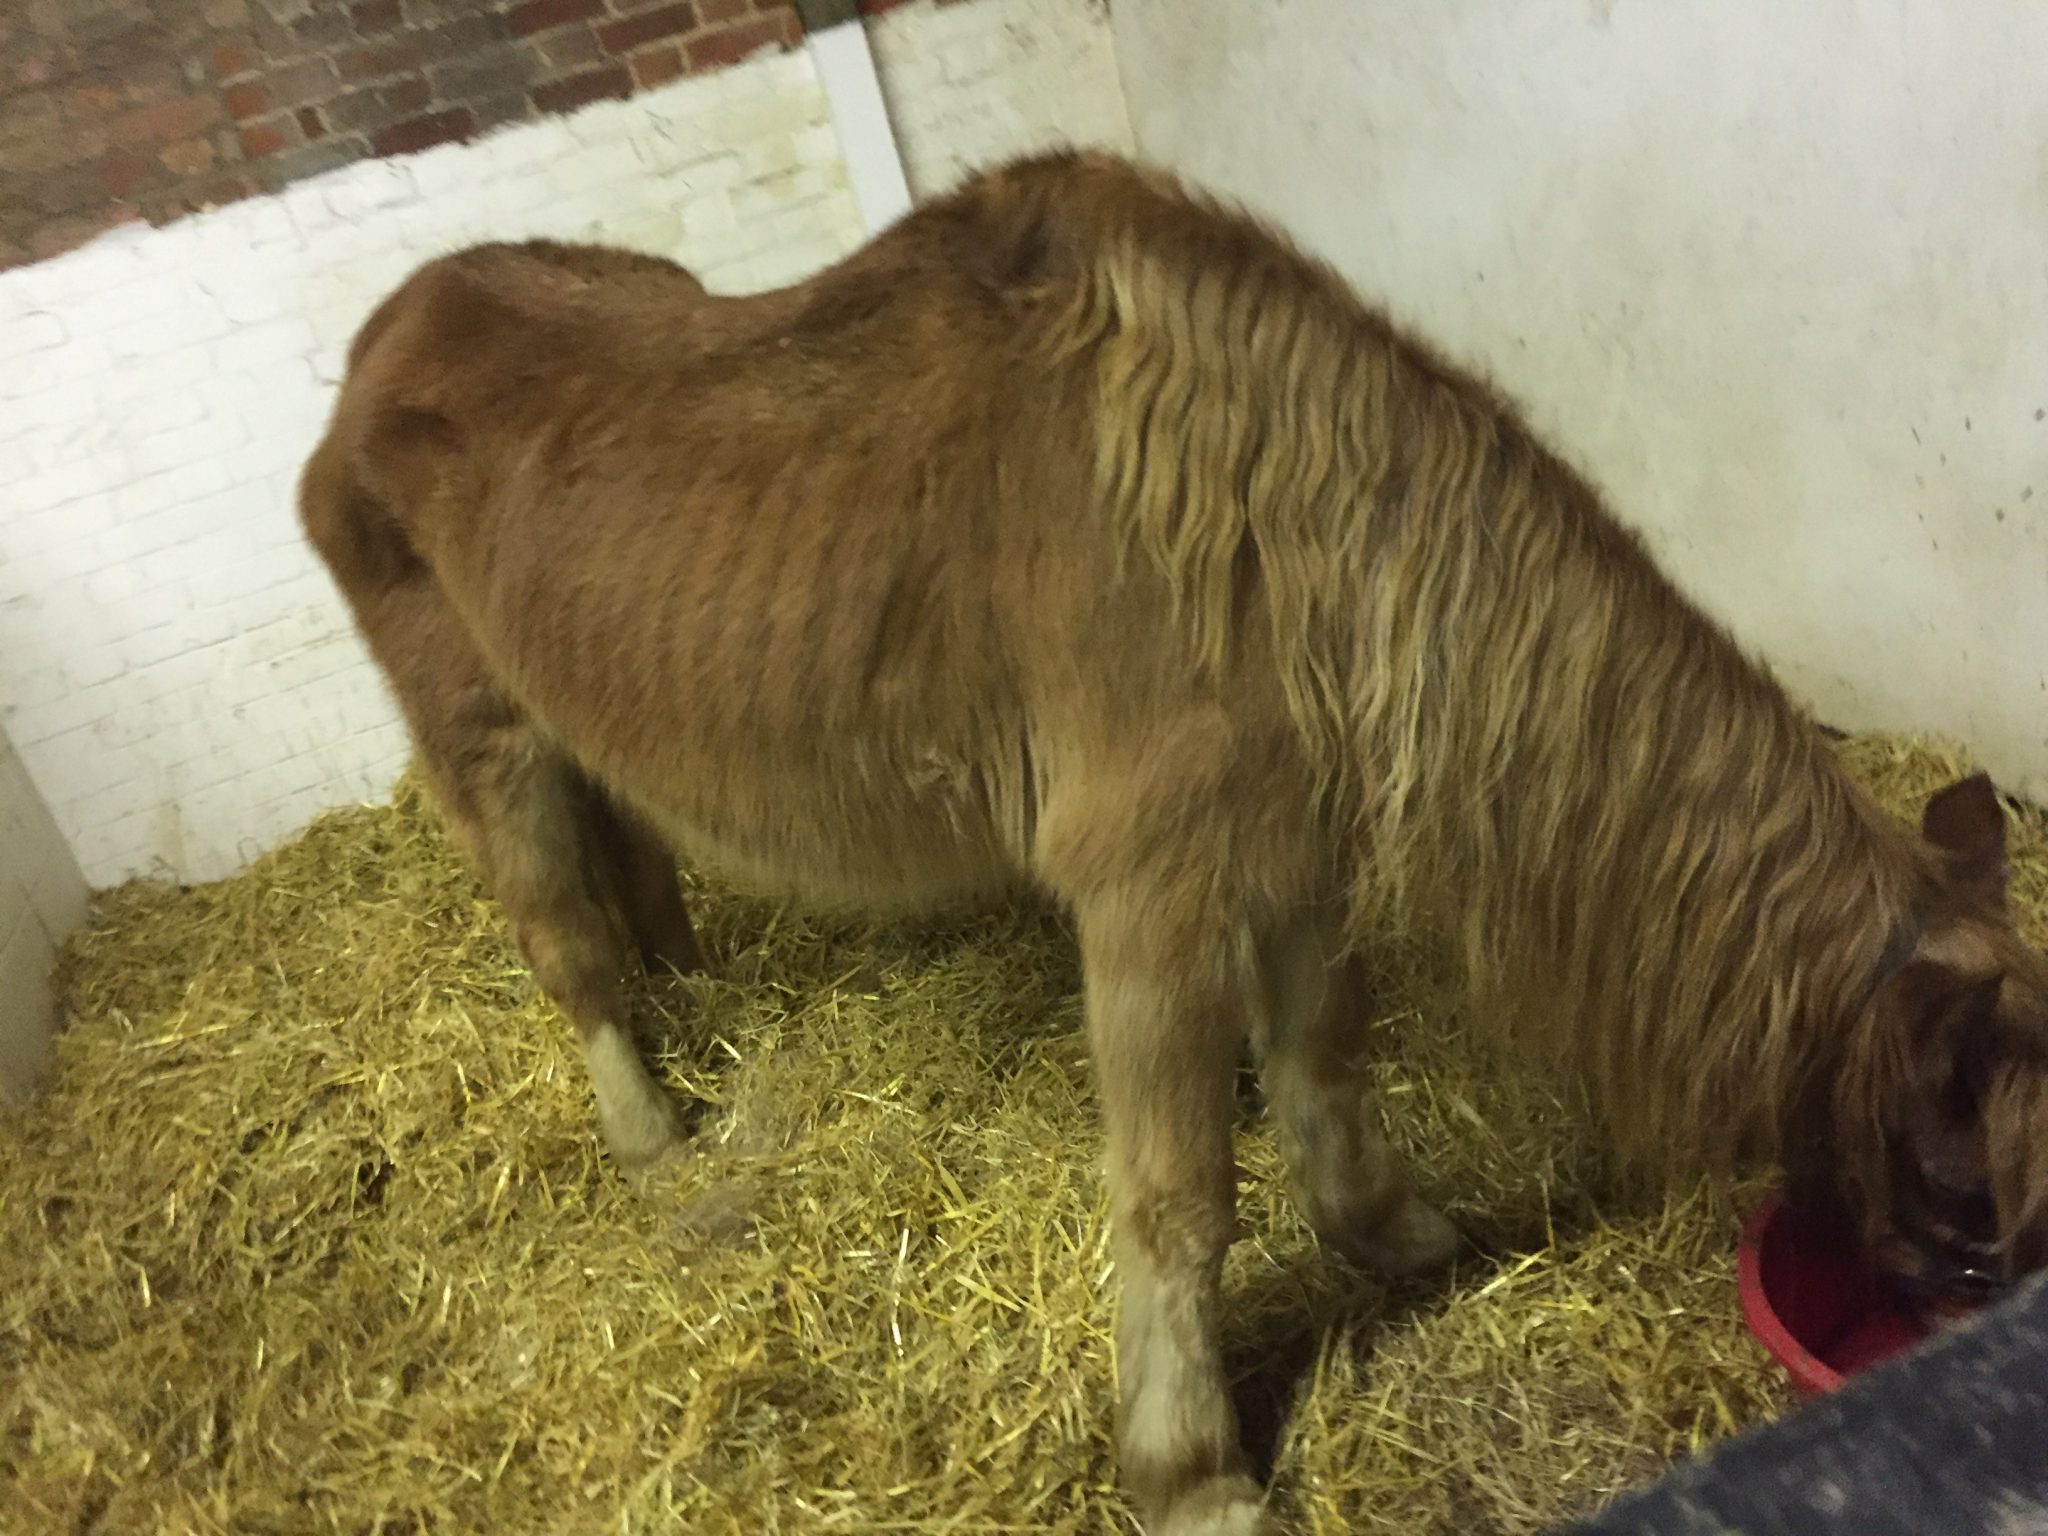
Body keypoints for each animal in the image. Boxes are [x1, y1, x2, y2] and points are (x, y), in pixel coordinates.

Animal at [298, 152, 2048, 1535]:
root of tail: (382, 339)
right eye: (1971, 1212)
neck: (1275, 528)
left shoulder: (1291, 857)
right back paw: (653, 1129)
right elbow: (1178, 1198)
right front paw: (1191, 1468)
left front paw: (1390, 1235)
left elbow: (1327, 1057)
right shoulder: (1150, 901)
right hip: (484, 743)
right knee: (563, 944)